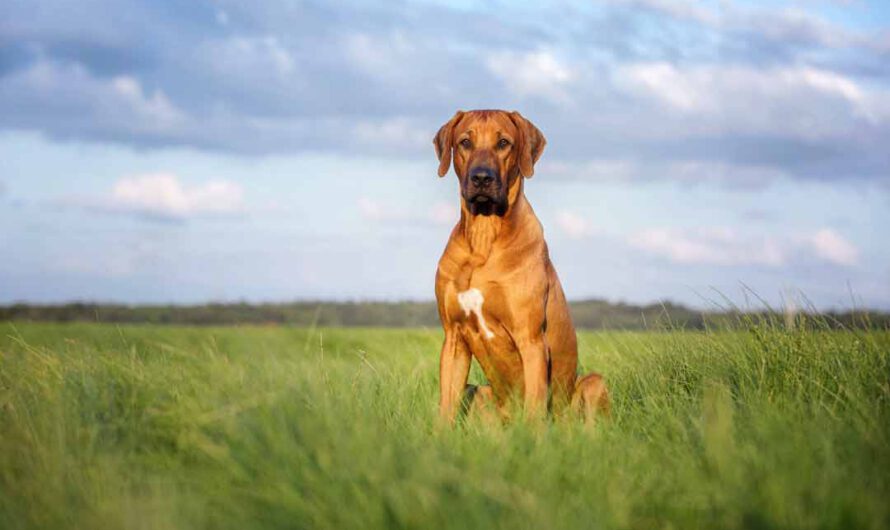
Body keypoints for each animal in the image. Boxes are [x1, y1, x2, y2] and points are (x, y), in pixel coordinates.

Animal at [432, 108, 612, 420]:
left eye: (504, 143)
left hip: (591, 384)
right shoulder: (453, 338)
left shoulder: (531, 340)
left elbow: (535, 409)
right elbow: (446, 409)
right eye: (465, 142)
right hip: (478, 391)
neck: (484, 235)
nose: (482, 178)